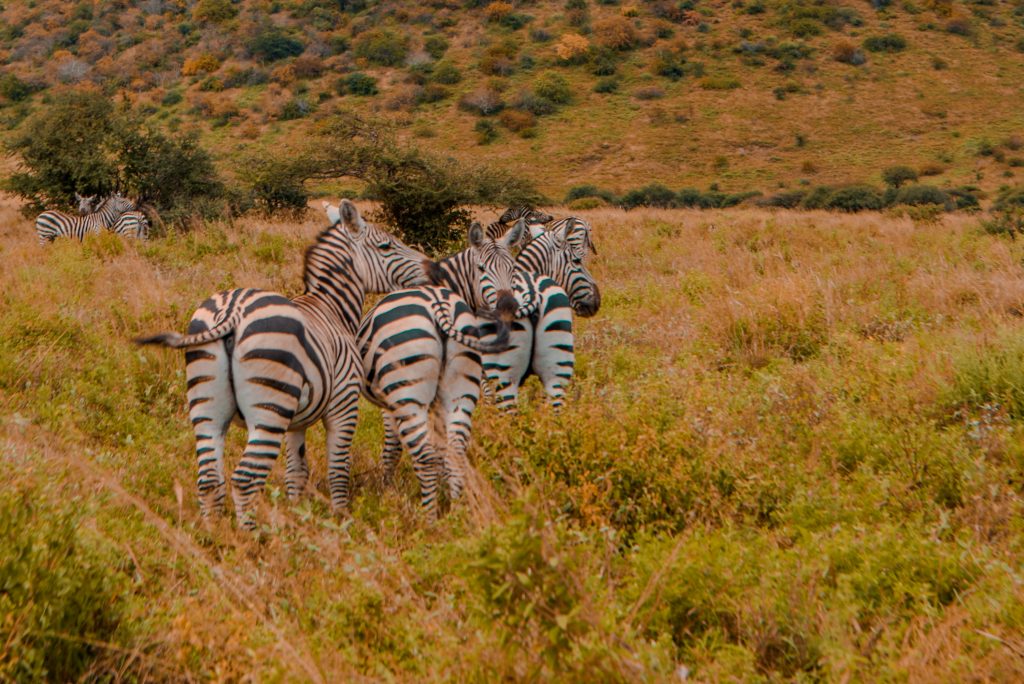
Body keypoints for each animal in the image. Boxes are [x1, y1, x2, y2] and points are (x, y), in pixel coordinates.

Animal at [135, 198, 432, 528]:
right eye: (386, 246)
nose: (432, 266)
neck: (332, 309)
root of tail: (232, 311)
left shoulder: (296, 421)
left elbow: (296, 472)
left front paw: (297, 514)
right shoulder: (343, 403)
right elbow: (338, 469)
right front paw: (340, 519)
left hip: (207, 406)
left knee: (209, 479)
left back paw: (214, 534)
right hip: (269, 410)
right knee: (244, 480)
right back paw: (252, 536)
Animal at [354, 222, 528, 516]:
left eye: (513, 267)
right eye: (481, 268)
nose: (508, 307)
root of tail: (441, 307)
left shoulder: (391, 401)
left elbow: (393, 448)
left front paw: (386, 490)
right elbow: (439, 449)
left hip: (408, 391)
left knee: (424, 454)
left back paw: (431, 516)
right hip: (459, 387)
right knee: (456, 449)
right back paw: (456, 512)